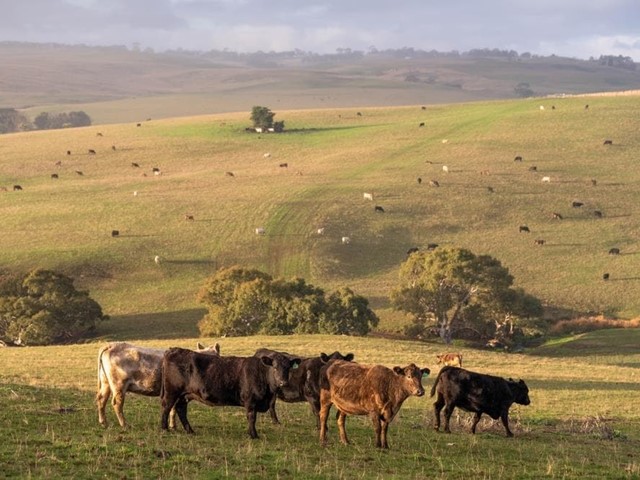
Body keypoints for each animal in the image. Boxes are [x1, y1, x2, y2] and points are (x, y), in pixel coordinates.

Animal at [160, 346, 300, 436]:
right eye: (274, 367)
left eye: (288, 368)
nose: (283, 382)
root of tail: (173, 350)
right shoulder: (250, 401)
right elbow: (251, 417)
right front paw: (253, 435)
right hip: (172, 392)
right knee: (167, 407)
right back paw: (164, 428)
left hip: (185, 395)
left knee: (180, 410)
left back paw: (190, 431)